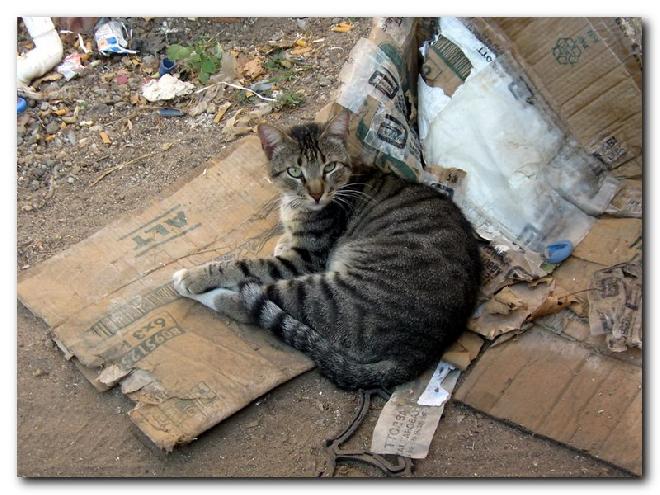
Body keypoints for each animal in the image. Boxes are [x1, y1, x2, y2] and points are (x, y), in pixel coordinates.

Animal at [171, 109, 480, 392]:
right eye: (295, 172)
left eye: (329, 167)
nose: (317, 193)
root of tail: (420, 350)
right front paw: (282, 238)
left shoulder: (303, 259)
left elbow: (243, 265)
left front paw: (195, 276)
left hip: (327, 292)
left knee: (248, 304)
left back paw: (199, 290)